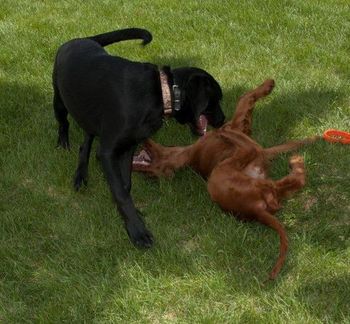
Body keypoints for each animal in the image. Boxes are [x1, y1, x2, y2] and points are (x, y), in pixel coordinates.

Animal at [53, 28, 226, 248]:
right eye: (216, 99)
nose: (223, 120)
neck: (162, 93)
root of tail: (83, 39)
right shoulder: (108, 152)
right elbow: (121, 193)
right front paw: (137, 232)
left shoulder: (128, 147)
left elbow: (125, 185)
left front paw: (132, 215)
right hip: (59, 101)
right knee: (64, 124)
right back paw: (63, 144)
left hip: (89, 114)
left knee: (85, 143)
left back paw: (81, 176)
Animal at [133, 79, 320, 280]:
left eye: (149, 174)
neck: (185, 156)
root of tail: (255, 211)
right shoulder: (239, 125)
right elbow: (244, 100)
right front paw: (268, 85)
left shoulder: (244, 129)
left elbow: (245, 103)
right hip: (226, 170)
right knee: (263, 160)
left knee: (289, 183)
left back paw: (295, 162)